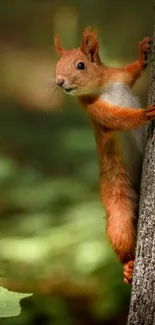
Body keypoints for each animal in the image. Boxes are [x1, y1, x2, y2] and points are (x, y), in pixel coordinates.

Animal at [53, 27, 154, 284]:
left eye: (81, 65)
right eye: (56, 66)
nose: (59, 82)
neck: (102, 88)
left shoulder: (119, 77)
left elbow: (132, 71)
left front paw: (143, 52)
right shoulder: (96, 110)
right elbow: (119, 118)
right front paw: (145, 113)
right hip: (118, 206)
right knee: (121, 234)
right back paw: (128, 266)